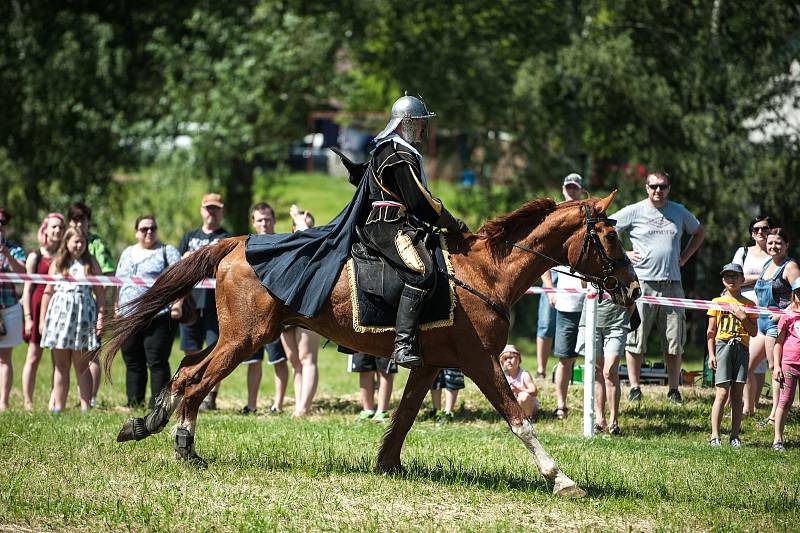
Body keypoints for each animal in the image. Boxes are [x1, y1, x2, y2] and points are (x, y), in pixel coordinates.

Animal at [100, 189, 640, 496]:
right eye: (612, 239)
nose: (634, 291)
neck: (486, 271)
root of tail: (237, 243)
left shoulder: (430, 364)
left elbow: (402, 417)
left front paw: (387, 466)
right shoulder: (480, 361)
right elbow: (518, 419)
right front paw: (560, 478)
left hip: (242, 337)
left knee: (188, 366)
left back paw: (149, 424)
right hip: (246, 338)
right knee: (196, 377)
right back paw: (182, 446)